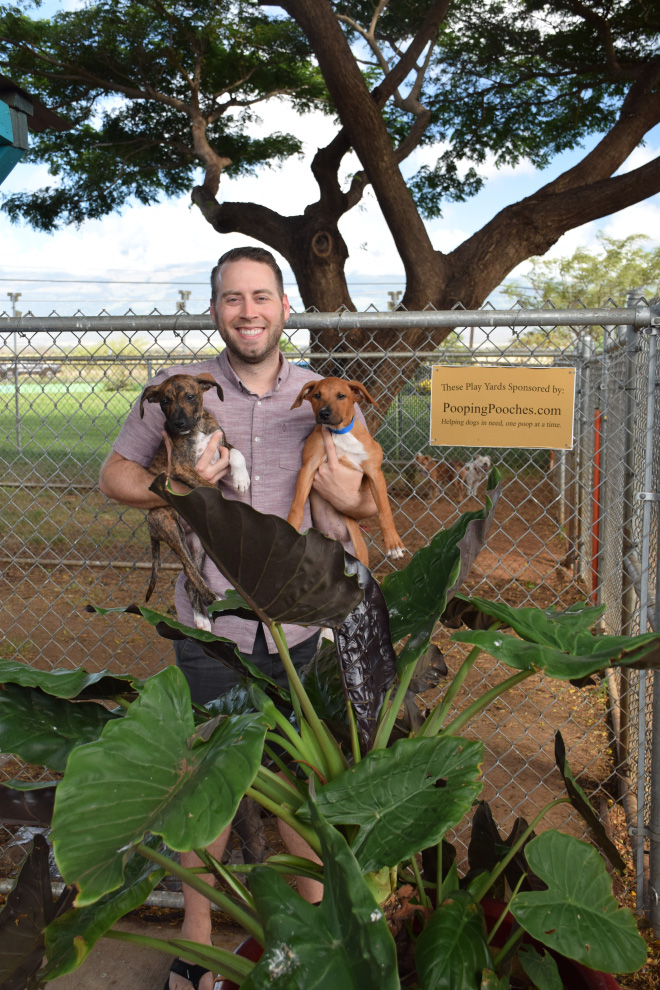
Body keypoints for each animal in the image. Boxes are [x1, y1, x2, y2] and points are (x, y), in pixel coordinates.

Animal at [290, 378, 404, 568]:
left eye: (341, 396)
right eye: (317, 395)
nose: (324, 414)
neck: (338, 434)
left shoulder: (374, 473)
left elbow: (385, 510)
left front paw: (393, 544)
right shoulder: (308, 467)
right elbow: (297, 505)